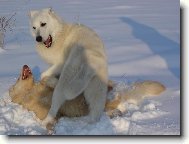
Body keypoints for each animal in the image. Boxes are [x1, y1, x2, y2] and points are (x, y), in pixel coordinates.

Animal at [8, 65, 165, 121]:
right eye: (17, 79)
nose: (25, 65)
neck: (30, 92)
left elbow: (47, 79)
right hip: (103, 106)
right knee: (113, 107)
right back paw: (116, 111)